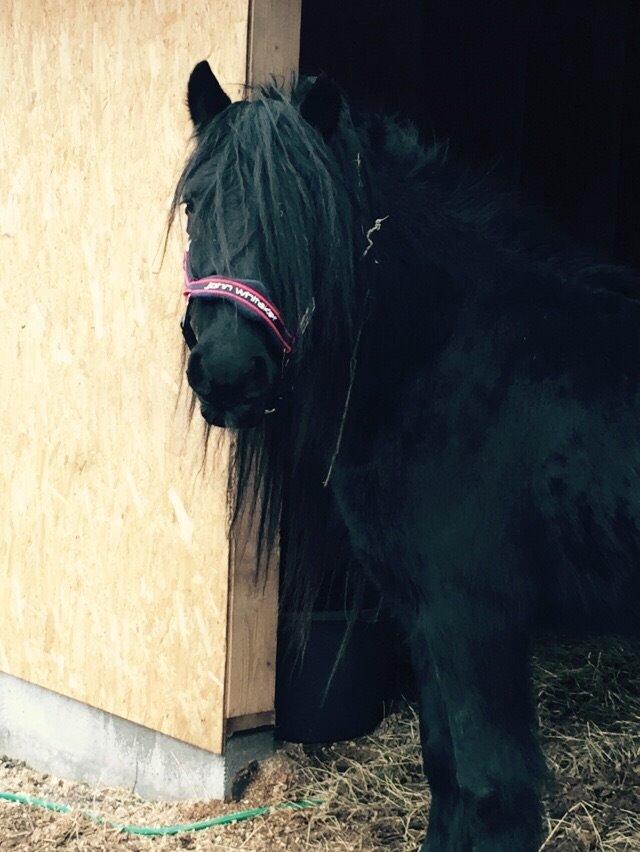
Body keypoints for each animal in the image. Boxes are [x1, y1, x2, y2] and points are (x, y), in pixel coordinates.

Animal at [171, 60, 640, 851]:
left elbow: (493, 791)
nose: (230, 373)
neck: (451, 359)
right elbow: (445, 773)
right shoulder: (423, 615)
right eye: (196, 203)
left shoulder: (473, 618)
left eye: (309, 217)